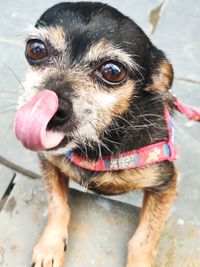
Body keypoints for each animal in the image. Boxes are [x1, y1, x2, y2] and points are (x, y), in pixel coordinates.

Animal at [14, 2, 179, 267]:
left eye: (113, 71)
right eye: (36, 49)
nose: (52, 108)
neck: (99, 143)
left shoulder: (165, 184)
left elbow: (144, 238)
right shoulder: (49, 163)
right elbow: (57, 205)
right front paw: (50, 246)